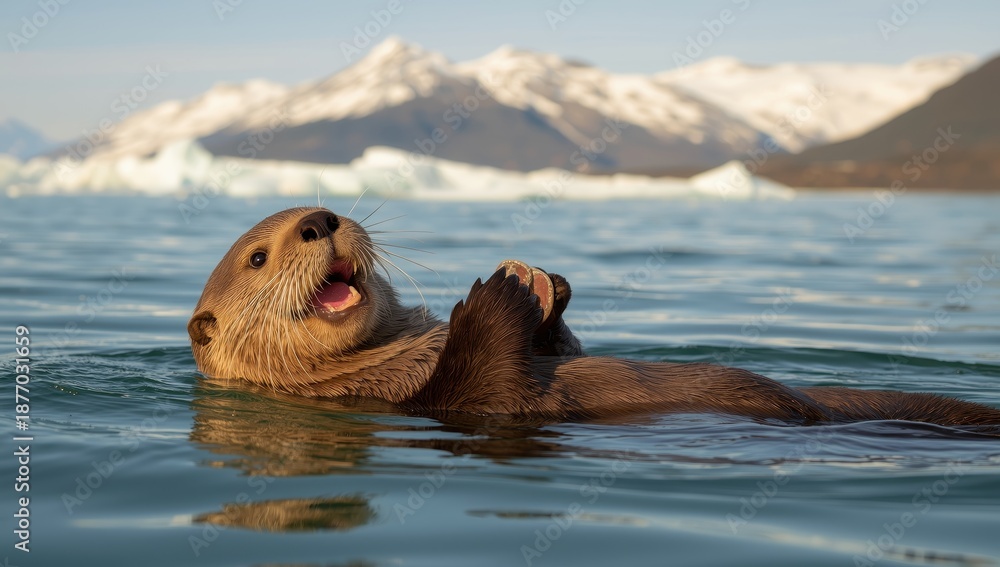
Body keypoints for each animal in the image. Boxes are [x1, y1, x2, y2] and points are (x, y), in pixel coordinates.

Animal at [188, 207, 1000, 429]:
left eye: (327, 211)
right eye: (258, 256)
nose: (320, 219)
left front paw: (542, 284)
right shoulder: (437, 403)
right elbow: (487, 390)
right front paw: (498, 292)